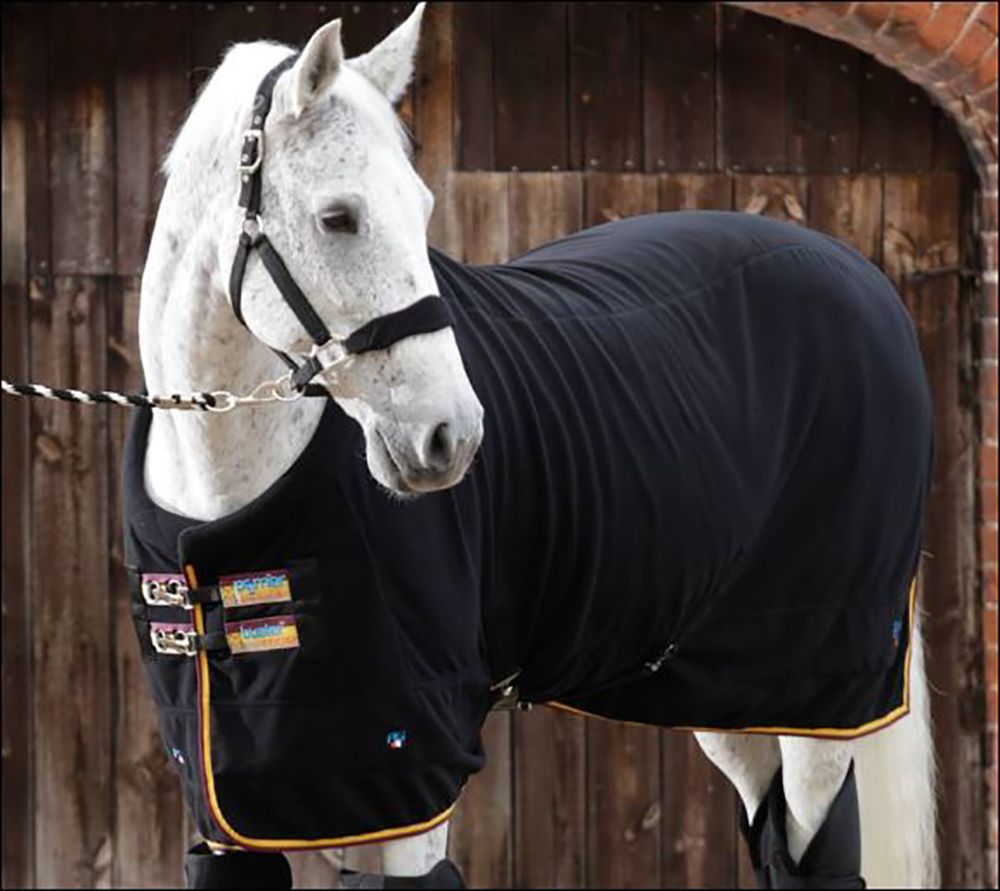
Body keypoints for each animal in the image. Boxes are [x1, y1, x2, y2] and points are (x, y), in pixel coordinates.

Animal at [131, 5, 937, 887]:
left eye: (421, 208)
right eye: (337, 216)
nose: (450, 437)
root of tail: (864, 282)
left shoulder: (413, 770)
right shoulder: (236, 799)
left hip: (822, 686)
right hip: (725, 687)